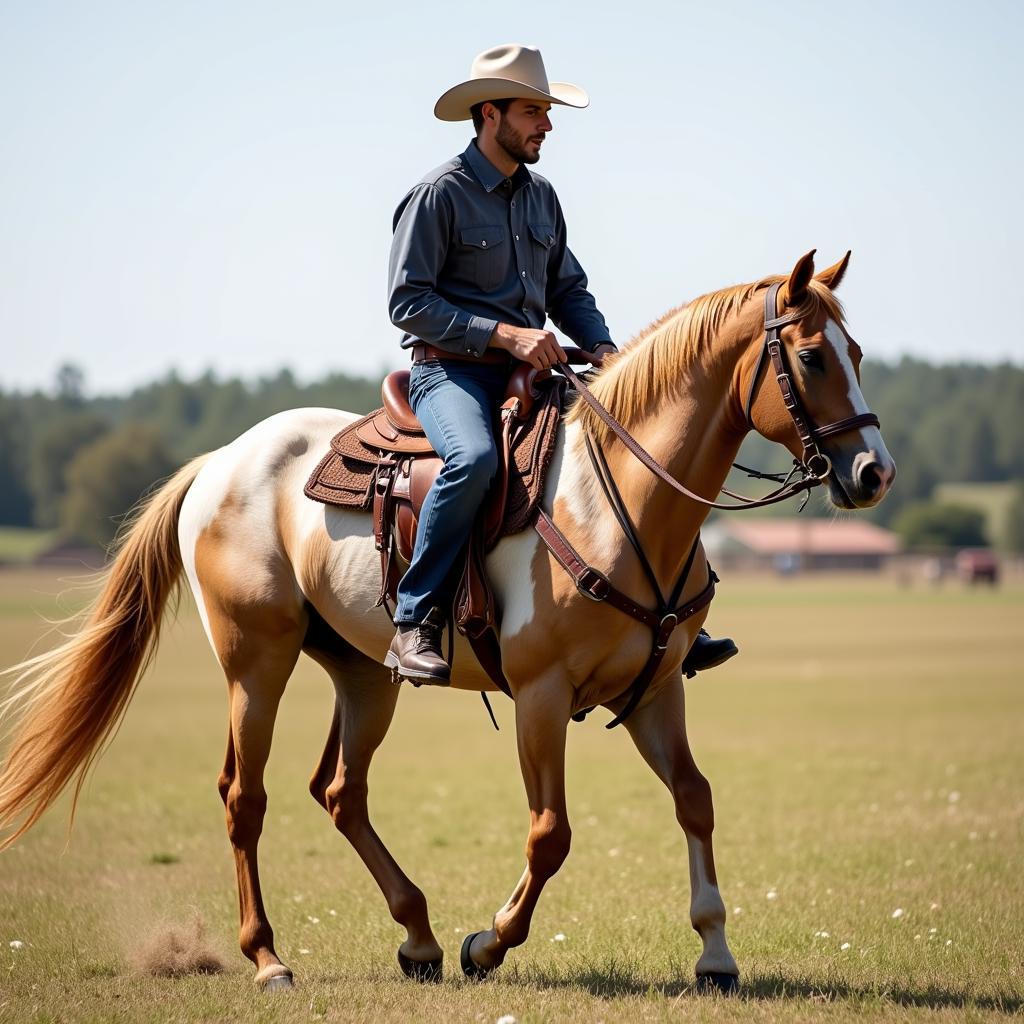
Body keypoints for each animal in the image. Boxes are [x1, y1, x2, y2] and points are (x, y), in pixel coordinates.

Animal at [0, 249, 897, 991]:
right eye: (812, 356)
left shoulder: (655, 691)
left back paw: (419, 937)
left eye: (856, 354)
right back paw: (270, 959)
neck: (617, 503)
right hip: (256, 660)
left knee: (340, 790)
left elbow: (695, 799)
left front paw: (715, 952)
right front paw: (489, 943)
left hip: (367, 674)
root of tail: (221, 462)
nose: (873, 472)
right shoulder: (541, 695)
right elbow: (550, 834)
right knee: (243, 796)